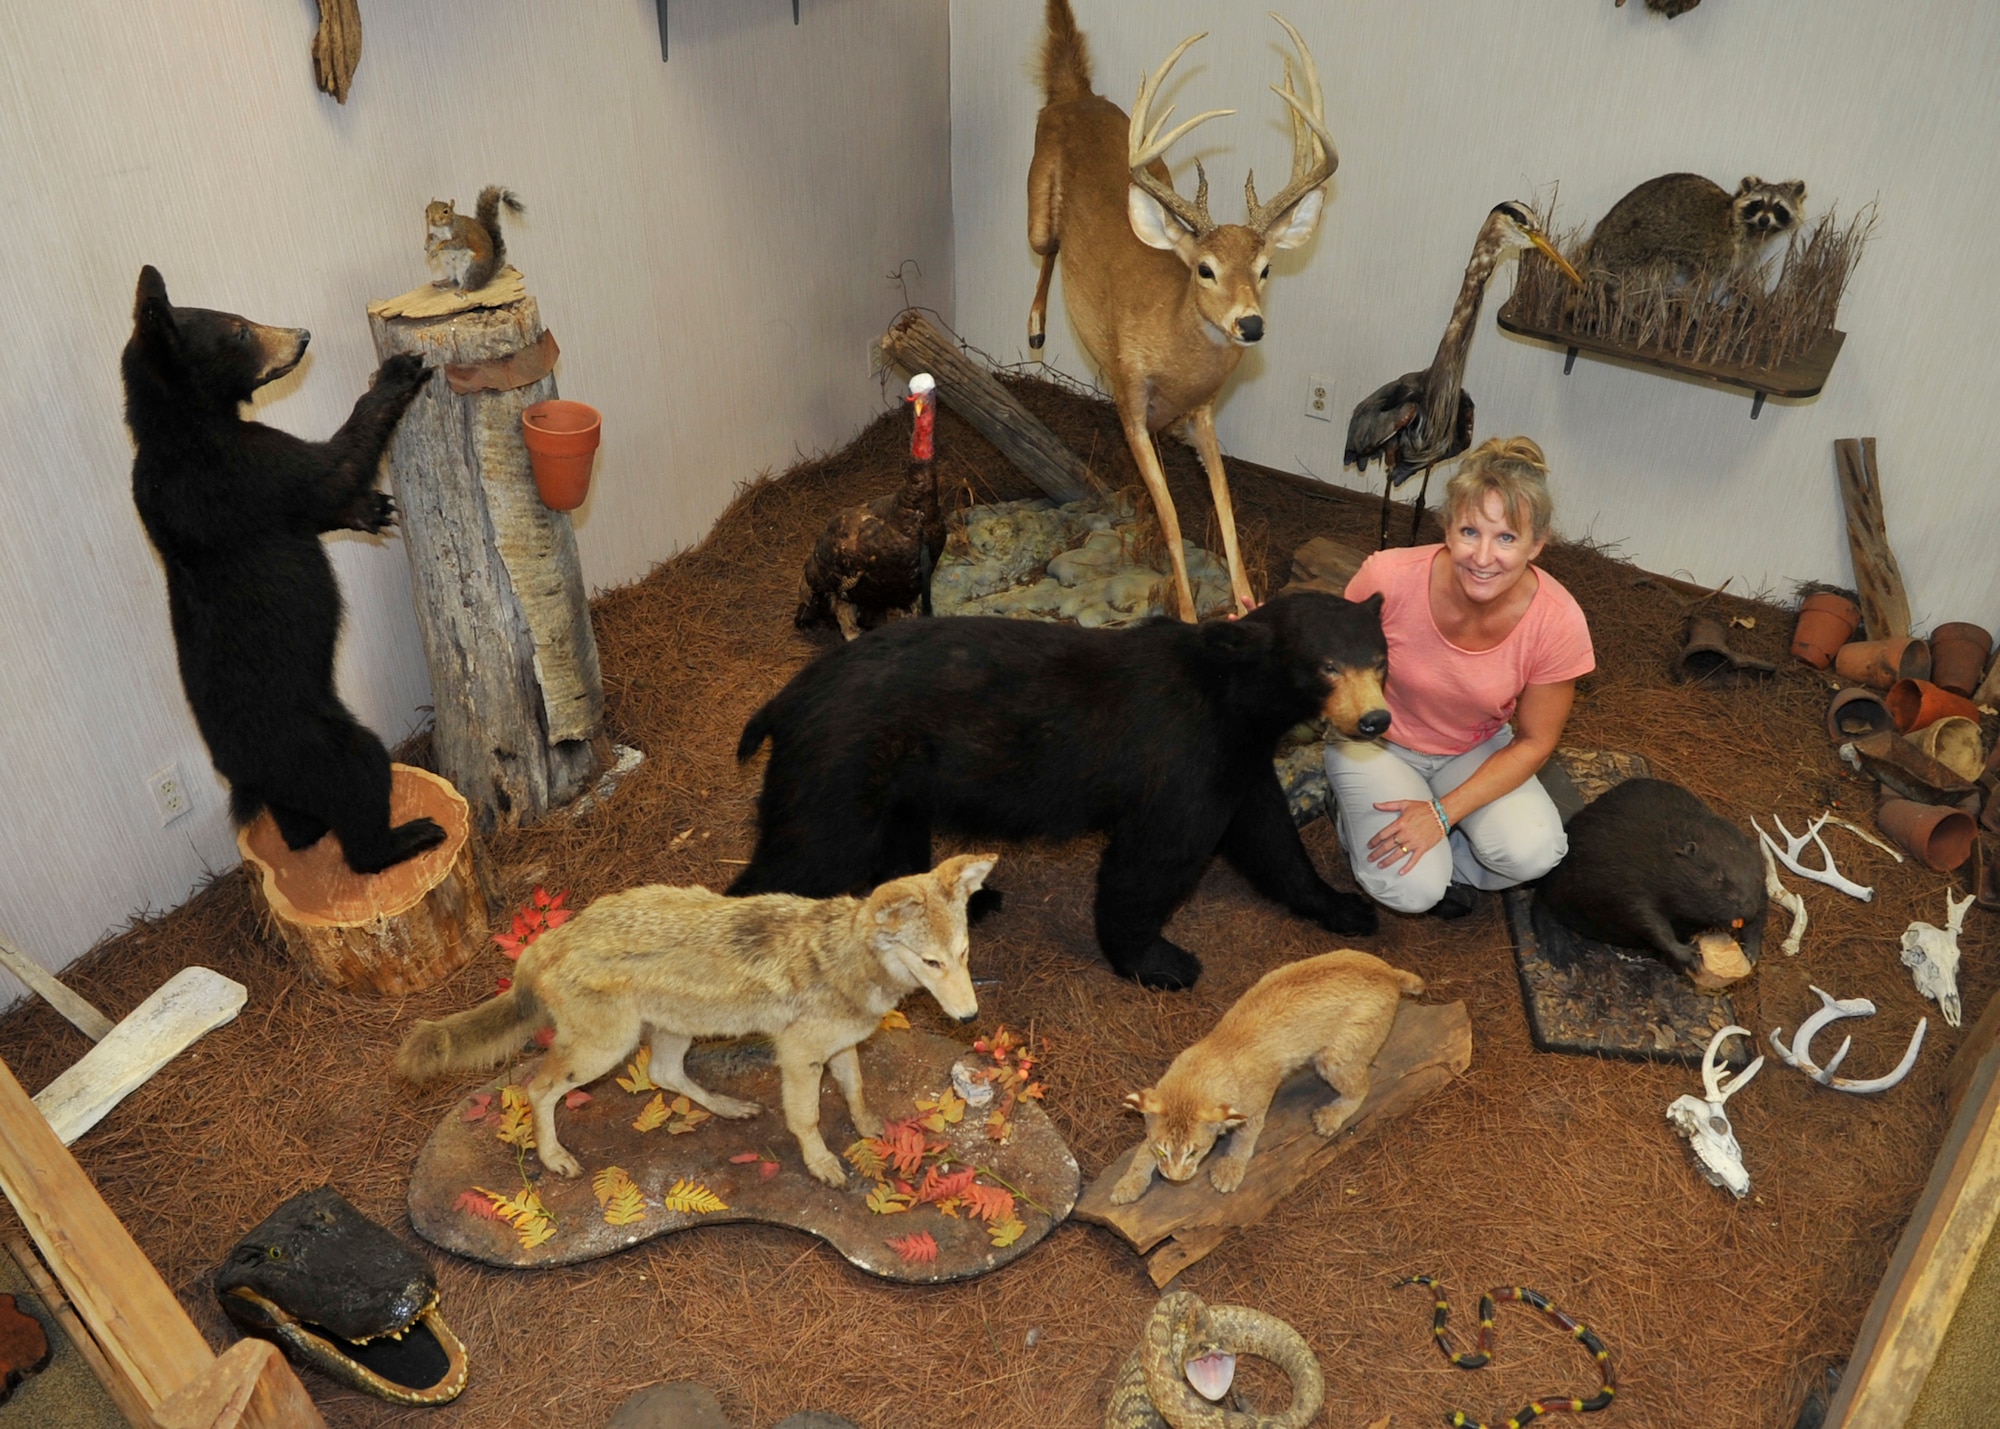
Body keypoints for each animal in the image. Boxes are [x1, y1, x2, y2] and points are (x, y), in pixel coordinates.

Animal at [125, 262, 446, 872]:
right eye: (238, 329)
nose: (301, 335)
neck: (182, 424)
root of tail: (244, 779)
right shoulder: (238, 470)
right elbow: (327, 469)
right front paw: (397, 372)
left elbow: (320, 501)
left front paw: (372, 509)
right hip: (316, 744)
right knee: (360, 779)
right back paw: (409, 836)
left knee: (300, 822)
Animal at [728, 588, 1384, 980]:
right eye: (1325, 665)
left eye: (1379, 658)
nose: (1376, 720)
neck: (1232, 697)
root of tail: (786, 700)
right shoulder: (1183, 754)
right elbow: (1155, 858)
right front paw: (1161, 961)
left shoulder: (1238, 760)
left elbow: (1270, 838)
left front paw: (1345, 906)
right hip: (841, 765)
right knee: (809, 851)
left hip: (892, 776)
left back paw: (969, 901)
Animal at [1032, 2, 1328, 620]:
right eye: (1205, 269)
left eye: (1266, 268)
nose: (1250, 323)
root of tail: (1076, 94)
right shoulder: (1128, 403)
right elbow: (1169, 519)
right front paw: (1189, 614)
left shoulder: (1203, 411)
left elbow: (1226, 507)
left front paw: (1245, 600)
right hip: (1038, 203)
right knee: (1045, 253)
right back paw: (1035, 328)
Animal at [1528, 772, 1768, 972]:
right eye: (1719, 878)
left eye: (1757, 879)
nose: (1747, 909)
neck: (1666, 850)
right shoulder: (1629, 878)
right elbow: (1646, 918)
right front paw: (1689, 955)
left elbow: (1763, 905)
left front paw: (1750, 953)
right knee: (1541, 905)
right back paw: (1559, 949)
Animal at [1584, 172, 1808, 284]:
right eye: (1758, 204)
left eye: (1778, 207)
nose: (1764, 220)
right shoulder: (1722, 249)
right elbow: (1703, 282)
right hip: (1633, 245)